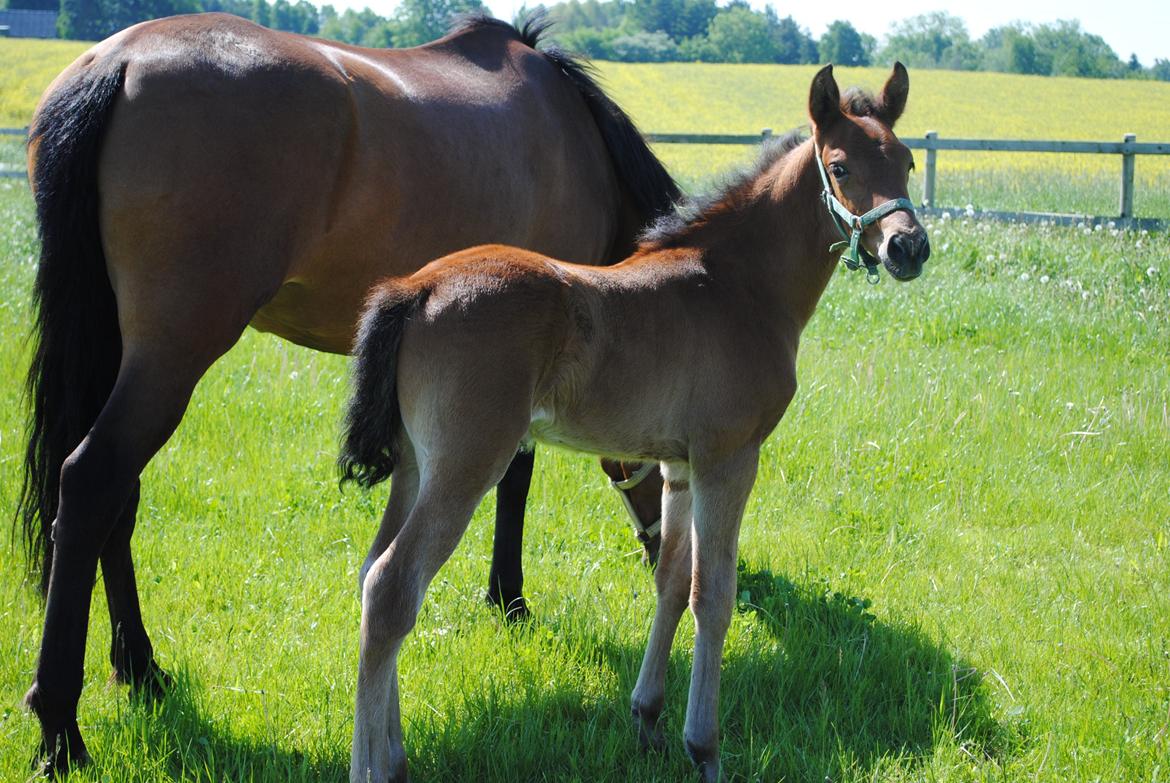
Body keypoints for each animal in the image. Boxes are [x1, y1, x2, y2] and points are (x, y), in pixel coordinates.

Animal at [16, 10, 678, 767]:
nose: (668, 554)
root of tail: (120, 62)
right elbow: (517, 476)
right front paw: (508, 598)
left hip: (121, 349)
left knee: (114, 501)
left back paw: (140, 667)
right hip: (172, 354)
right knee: (92, 482)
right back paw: (60, 726)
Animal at [341, 64, 931, 781]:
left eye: (906, 161)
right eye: (841, 167)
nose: (909, 246)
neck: (738, 284)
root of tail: (414, 289)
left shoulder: (678, 466)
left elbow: (672, 580)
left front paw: (648, 720)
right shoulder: (730, 456)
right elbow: (714, 593)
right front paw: (704, 747)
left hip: (415, 465)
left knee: (372, 573)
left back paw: (393, 751)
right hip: (466, 463)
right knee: (392, 588)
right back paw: (375, 765)